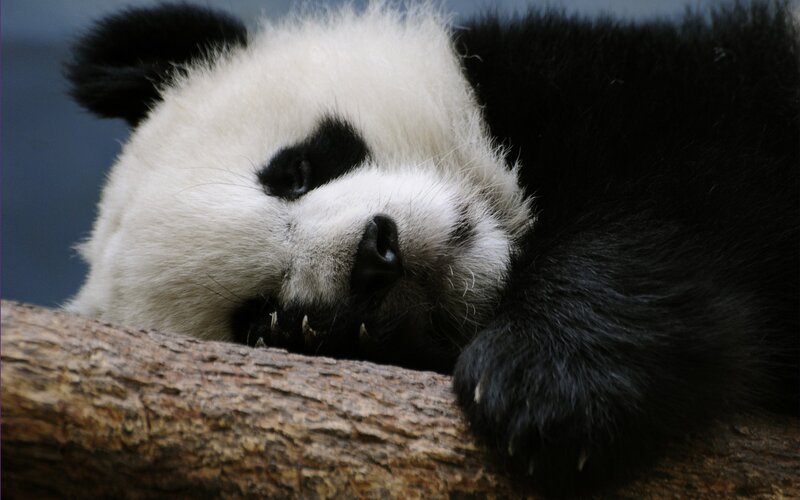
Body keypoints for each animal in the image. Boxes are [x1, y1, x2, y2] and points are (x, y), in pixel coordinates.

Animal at [65, 1, 798, 495]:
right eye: (264, 319)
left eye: (295, 170)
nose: (375, 254)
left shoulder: (634, 85)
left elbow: (687, 183)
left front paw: (544, 382)